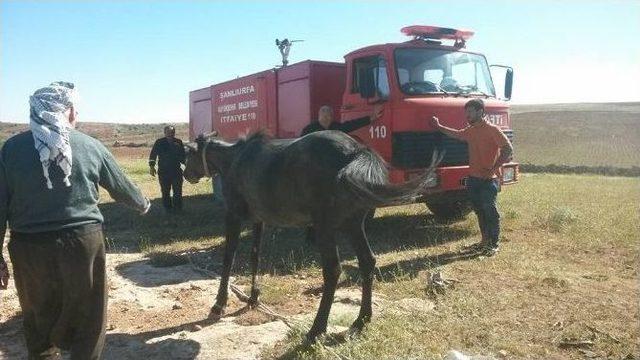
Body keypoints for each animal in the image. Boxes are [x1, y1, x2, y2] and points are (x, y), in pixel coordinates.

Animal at [182, 131, 442, 342]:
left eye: (188, 155)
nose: (186, 175)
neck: (234, 160)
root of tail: (356, 150)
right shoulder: (259, 220)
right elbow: (255, 255)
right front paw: (254, 296)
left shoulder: (233, 216)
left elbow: (229, 259)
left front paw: (219, 304)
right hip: (352, 224)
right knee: (367, 262)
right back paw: (361, 320)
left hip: (325, 226)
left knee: (333, 270)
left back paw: (317, 329)